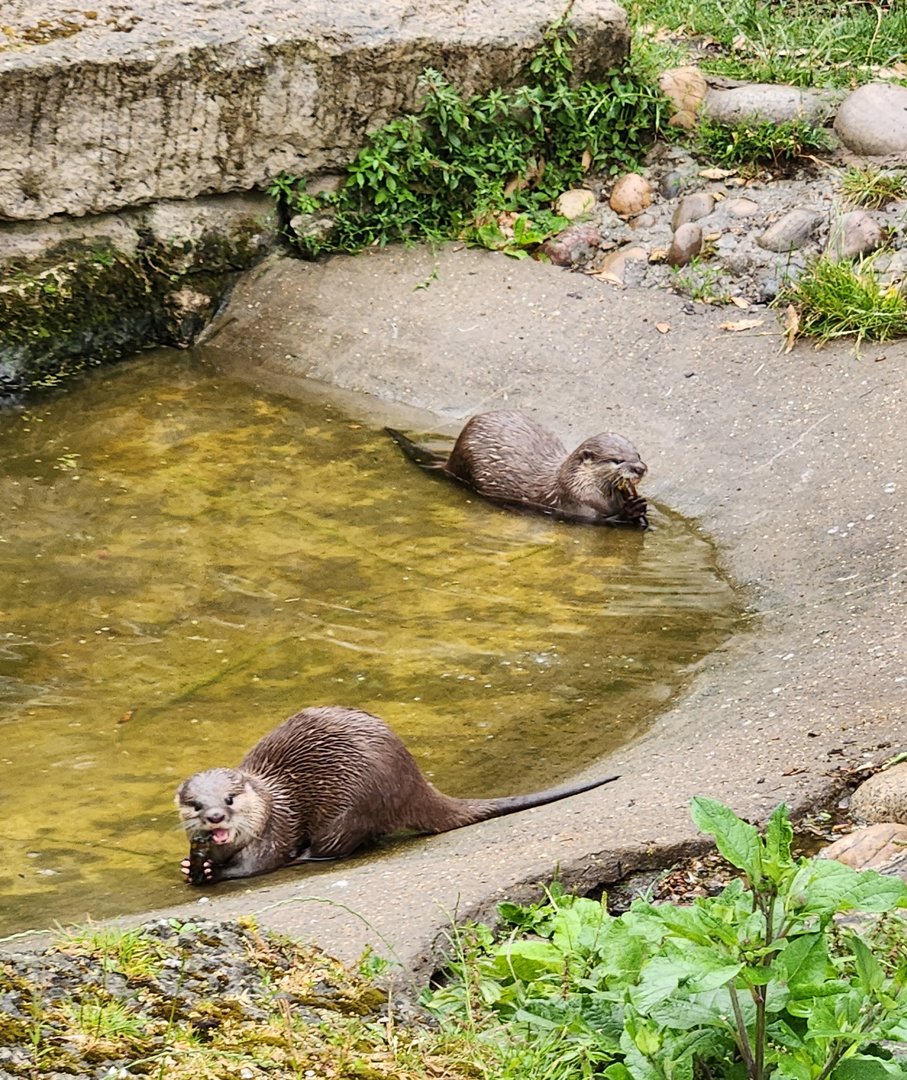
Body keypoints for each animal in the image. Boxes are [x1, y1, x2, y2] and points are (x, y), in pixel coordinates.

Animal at [176, 705, 619, 885]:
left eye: (230, 800)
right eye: (196, 805)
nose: (214, 817)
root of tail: (413, 781)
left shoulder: (274, 829)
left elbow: (258, 865)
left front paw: (215, 873)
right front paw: (190, 865)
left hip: (354, 805)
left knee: (338, 844)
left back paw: (307, 855)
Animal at [387, 410, 648, 528]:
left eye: (637, 454)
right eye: (617, 460)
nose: (640, 468)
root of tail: (451, 458)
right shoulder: (575, 502)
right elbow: (600, 520)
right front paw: (632, 509)